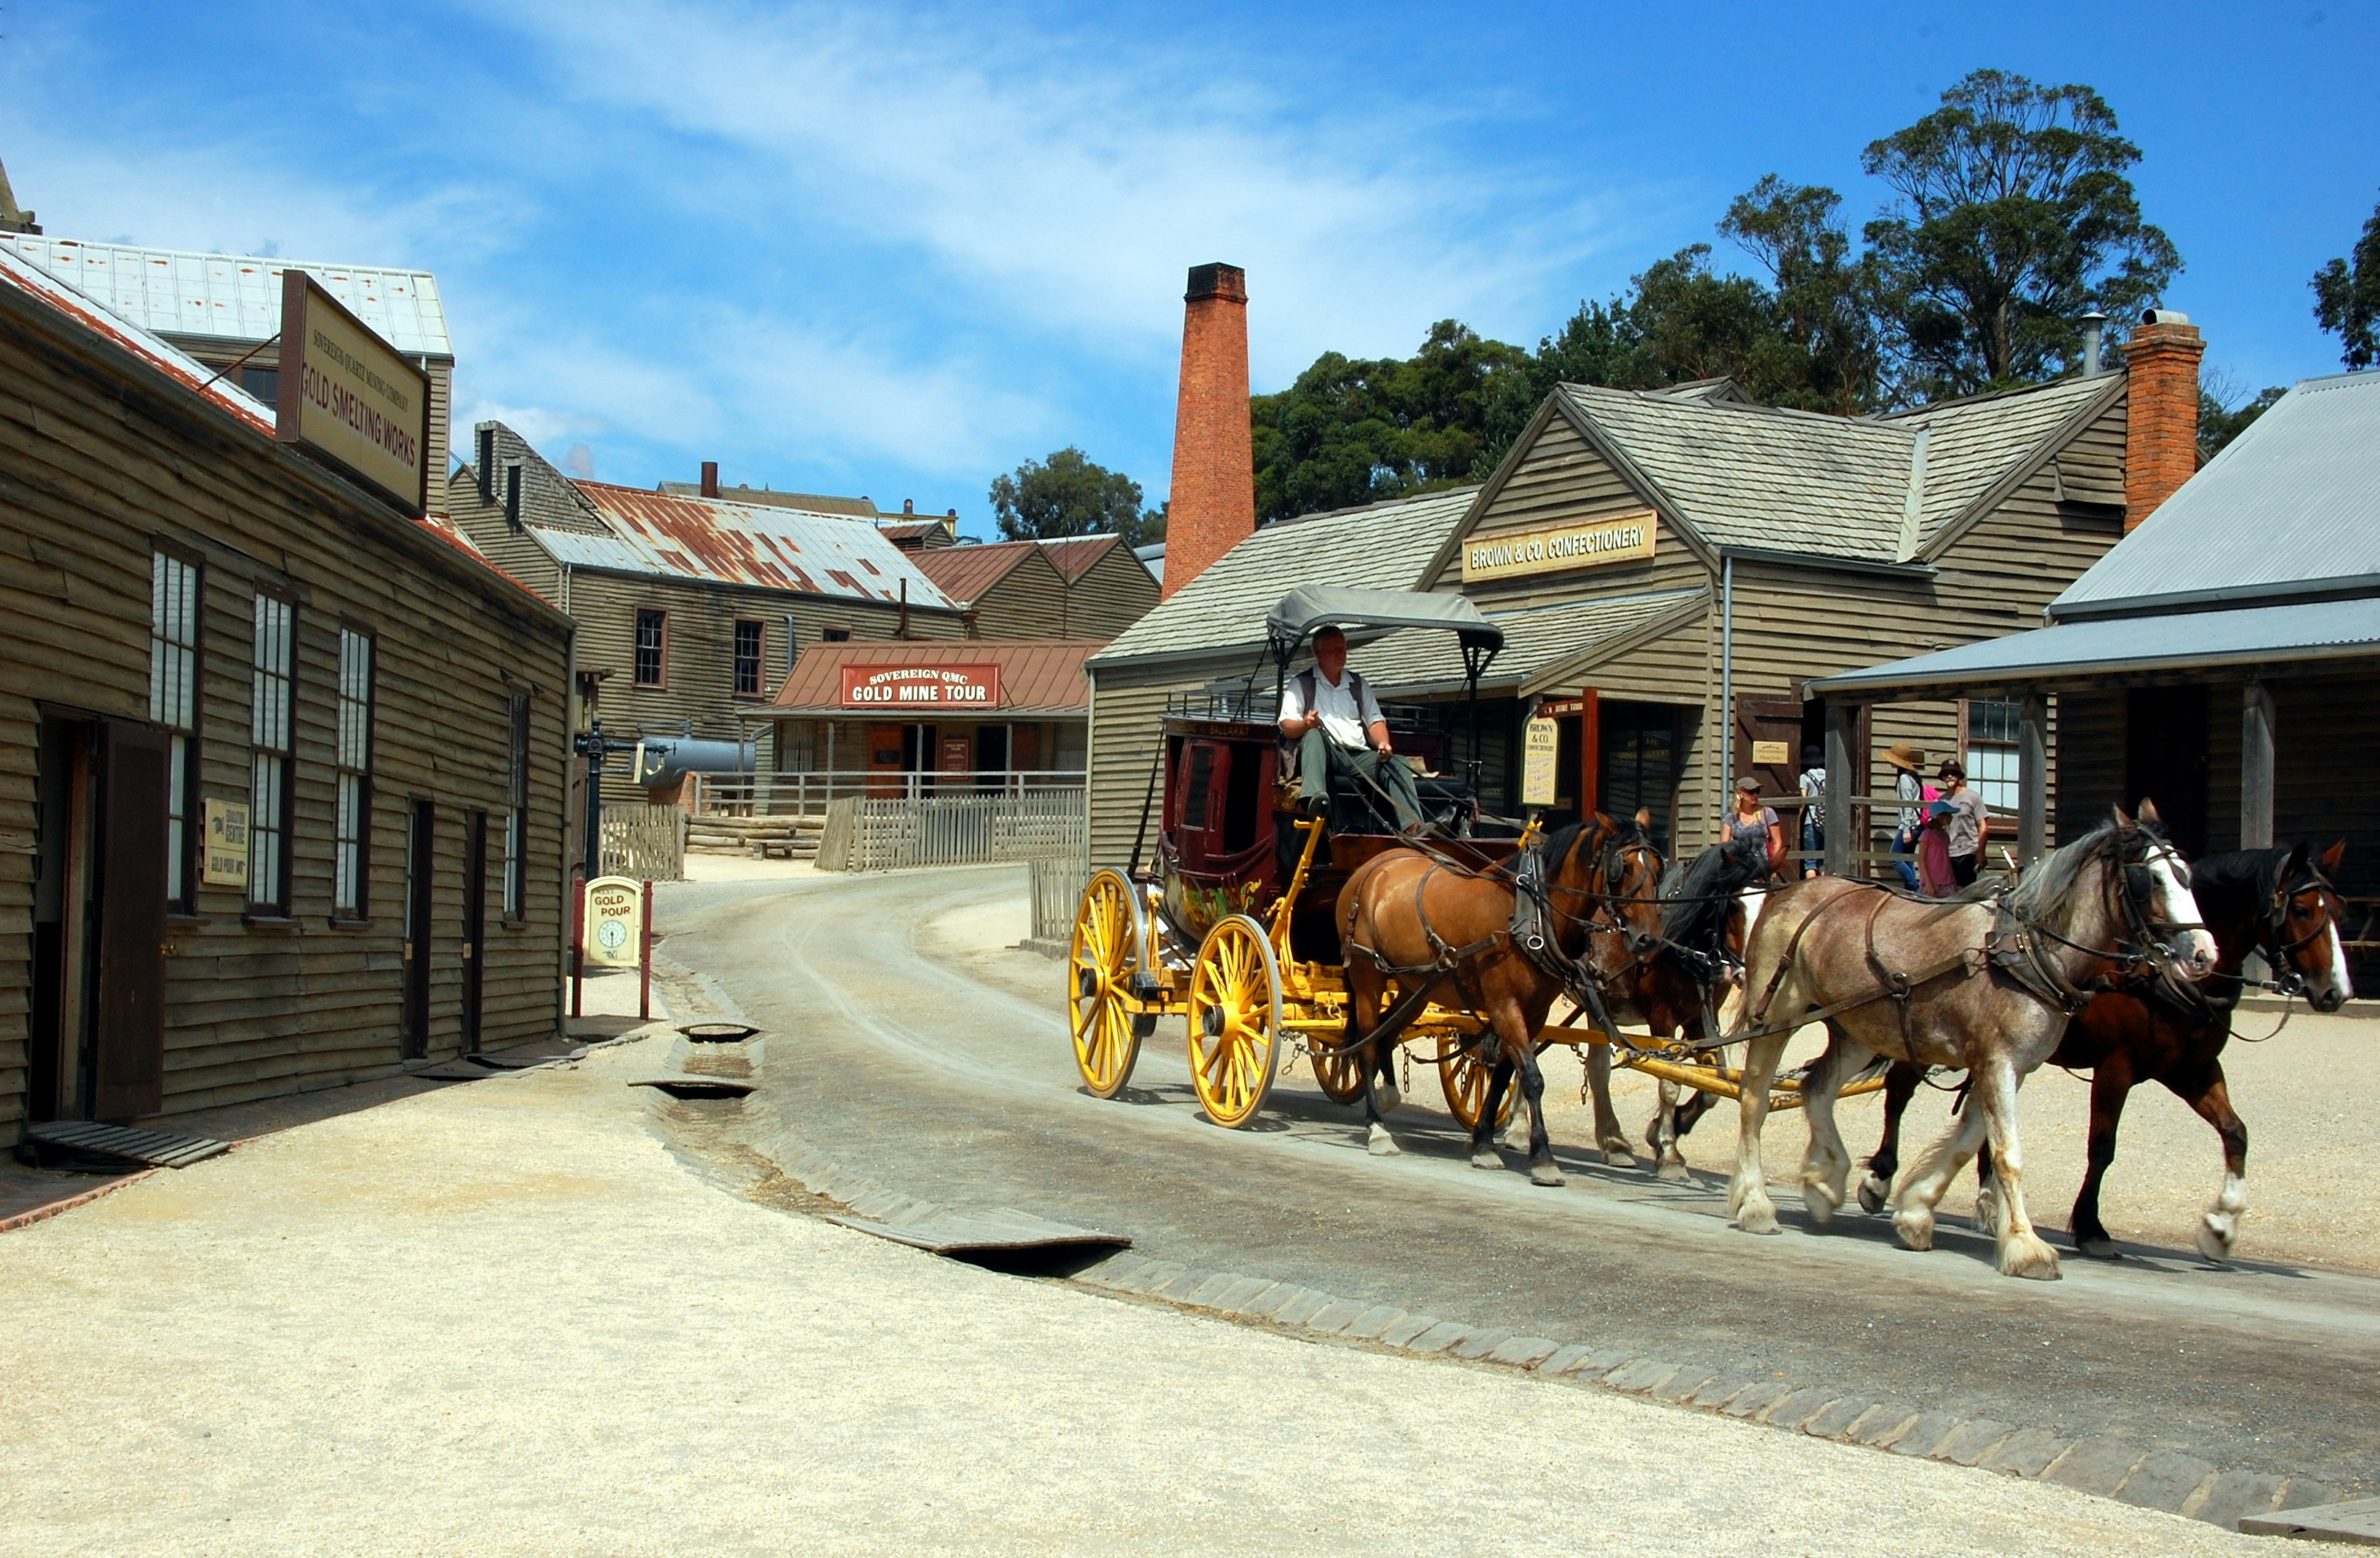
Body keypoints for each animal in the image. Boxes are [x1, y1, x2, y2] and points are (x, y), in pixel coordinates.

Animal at [1342, 818, 1637, 1184]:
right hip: (1367, 975)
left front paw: (1484, 1143)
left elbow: (1504, 1074)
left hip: (1416, 986)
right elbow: (1530, 1077)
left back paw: (1388, 1096)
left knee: (1386, 1031)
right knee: (1367, 1044)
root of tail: (1372, 867)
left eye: (1657, 867)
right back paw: (1378, 1130)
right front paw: (1542, 1157)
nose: (1645, 938)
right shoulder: (1504, 1006)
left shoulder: (1533, 1013)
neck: (1527, 916)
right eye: (1624, 868)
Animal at [1723, 804, 2218, 1284]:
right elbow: (2007, 1154)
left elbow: (1968, 1143)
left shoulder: (2009, 1066)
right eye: (2150, 880)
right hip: (1777, 1017)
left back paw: (1824, 1182)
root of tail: (1788, 892)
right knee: (1754, 1099)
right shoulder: (1998, 1062)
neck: (2023, 950)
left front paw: (1916, 1212)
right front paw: (2025, 1247)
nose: (2204, 954)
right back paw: (1755, 1204)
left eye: (2186, 875)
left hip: (1856, 1029)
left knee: (1818, 1088)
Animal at [1856, 842, 2342, 1265]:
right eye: (2301, 910)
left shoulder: (2192, 1070)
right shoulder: (2117, 1068)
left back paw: (1988, 1204)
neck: (2160, 976)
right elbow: (2102, 1148)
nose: (2336, 991)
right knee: (1899, 1091)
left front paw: (2221, 1227)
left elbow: (2235, 1132)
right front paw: (2092, 1228)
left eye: (2339, 910)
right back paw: (1880, 1179)